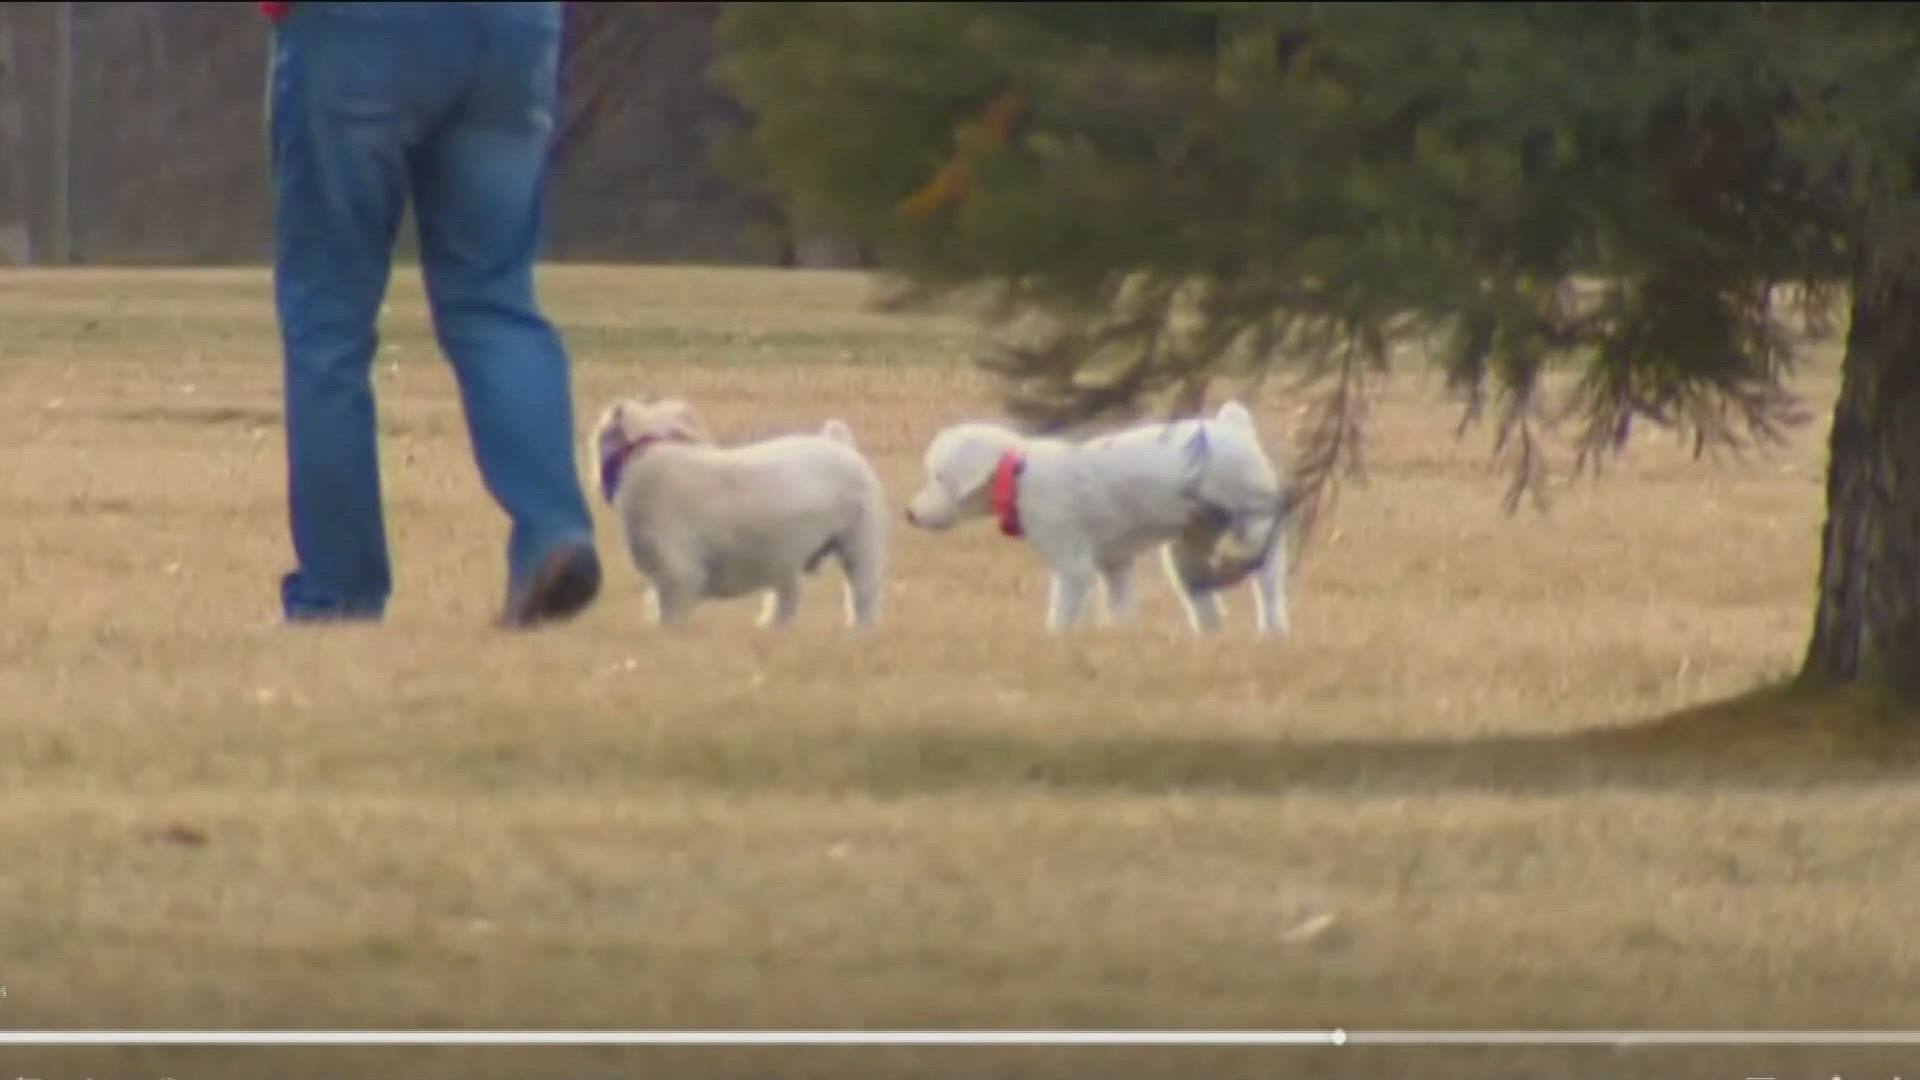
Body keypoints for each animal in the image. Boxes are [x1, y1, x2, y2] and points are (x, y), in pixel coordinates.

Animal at [587, 395, 887, 626]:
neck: (641, 453)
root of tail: (840, 444)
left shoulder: (677, 579)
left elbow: (669, 620)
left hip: (861, 548)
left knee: (862, 598)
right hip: (786, 564)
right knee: (785, 605)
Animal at [898, 399, 1290, 634]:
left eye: (938, 477)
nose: (910, 515)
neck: (1018, 475)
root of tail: (1234, 427)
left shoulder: (1074, 567)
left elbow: (1061, 614)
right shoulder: (1114, 564)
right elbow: (1119, 608)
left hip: (1255, 530)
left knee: (1268, 587)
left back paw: (1272, 632)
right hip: (1186, 551)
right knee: (1207, 605)